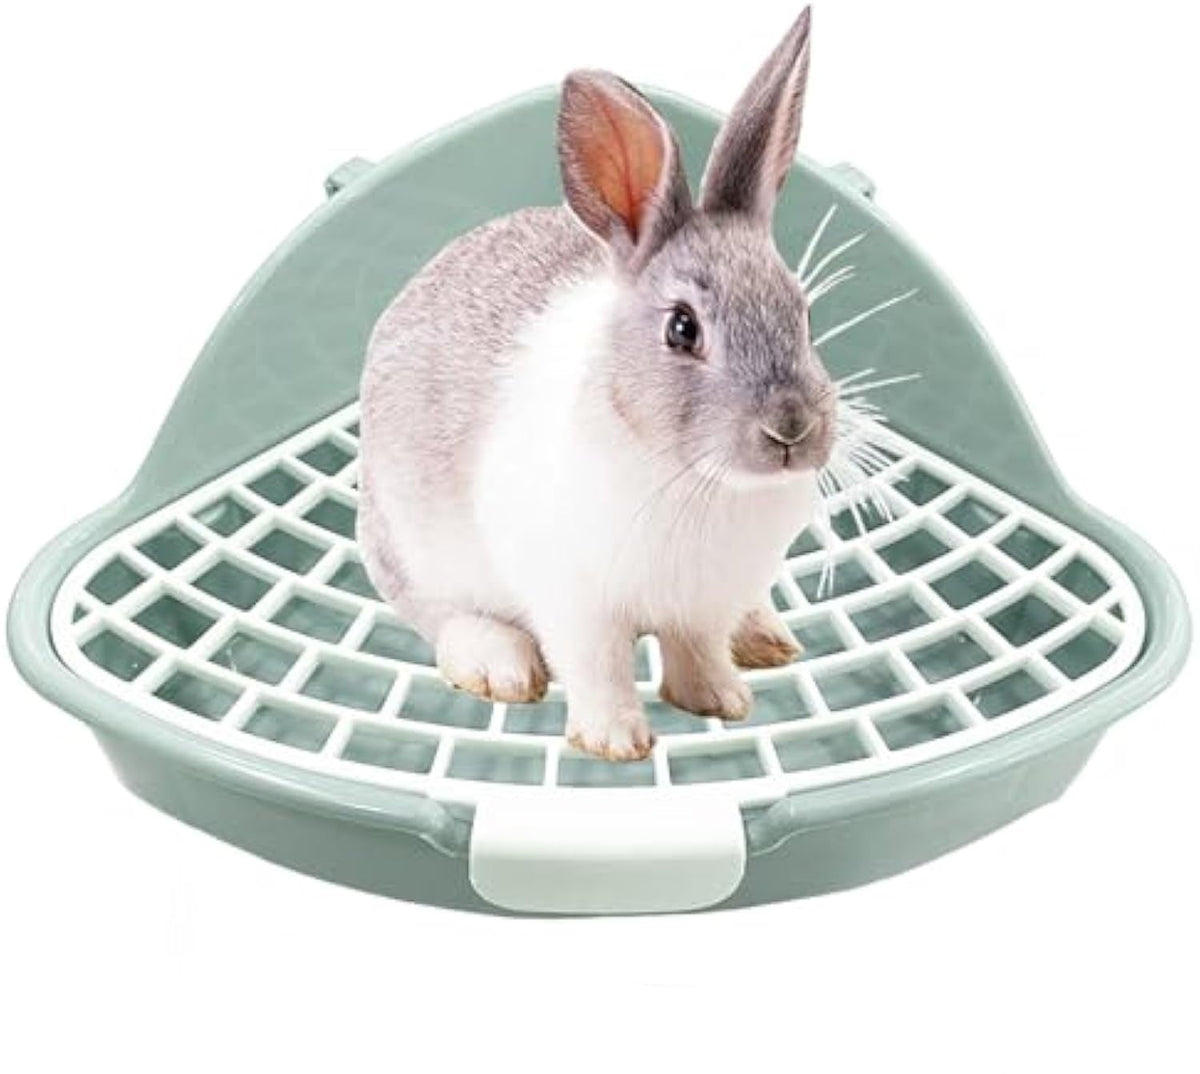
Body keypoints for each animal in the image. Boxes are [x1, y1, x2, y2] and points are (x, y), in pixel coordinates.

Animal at [358, 6, 835, 761]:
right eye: (682, 329)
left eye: (804, 312)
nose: (792, 429)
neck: (695, 478)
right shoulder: (575, 602)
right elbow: (599, 666)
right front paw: (615, 742)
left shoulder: (703, 603)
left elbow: (698, 651)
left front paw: (722, 702)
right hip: (412, 546)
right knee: (438, 614)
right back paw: (498, 665)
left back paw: (765, 637)